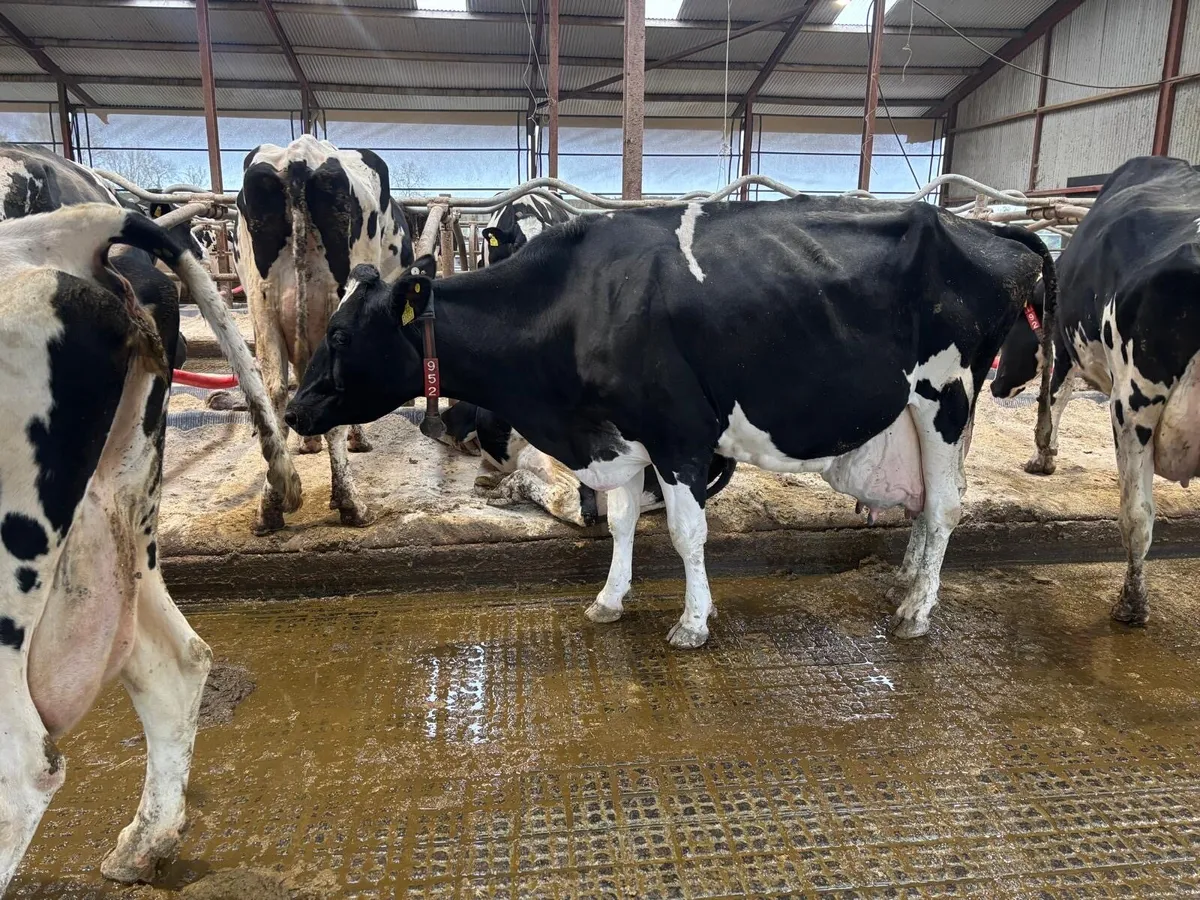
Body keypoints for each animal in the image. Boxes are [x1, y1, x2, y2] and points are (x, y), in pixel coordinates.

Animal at [236, 136, 414, 533]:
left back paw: (270, 507)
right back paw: (351, 505)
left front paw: (309, 440)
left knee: (273, 394)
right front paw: (355, 439)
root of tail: (298, 157)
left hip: (261, 304)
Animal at [285, 196, 1055, 647]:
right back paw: (905, 584)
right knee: (927, 508)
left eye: (343, 336)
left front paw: (691, 622)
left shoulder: (678, 431)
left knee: (948, 505)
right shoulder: (622, 433)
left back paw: (917, 614)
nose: (295, 408)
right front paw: (609, 600)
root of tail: (988, 228)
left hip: (944, 397)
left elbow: (687, 532)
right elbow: (623, 521)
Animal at [991, 155, 1200, 627]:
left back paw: (1131, 604)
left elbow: (1053, 394)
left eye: (1010, 329)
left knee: (1137, 517)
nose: (994, 385)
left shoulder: (1064, 343)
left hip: (1133, 404)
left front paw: (1042, 456)